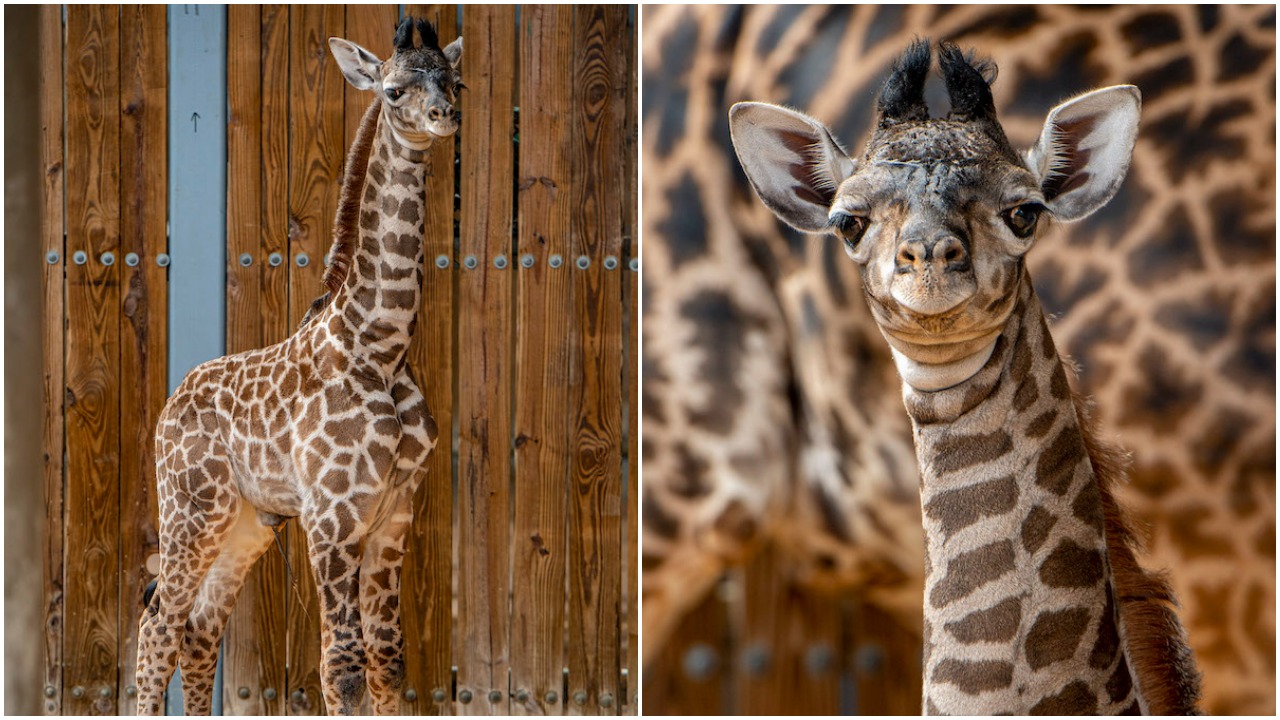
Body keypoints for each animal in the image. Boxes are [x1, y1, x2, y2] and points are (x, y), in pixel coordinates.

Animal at [134, 17, 462, 715]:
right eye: (393, 90)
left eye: (455, 81)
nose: (444, 117)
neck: (381, 346)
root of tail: (171, 401)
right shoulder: (331, 516)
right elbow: (340, 669)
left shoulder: (395, 512)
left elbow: (388, 662)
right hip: (191, 509)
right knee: (159, 627)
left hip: (246, 522)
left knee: (200, 632)